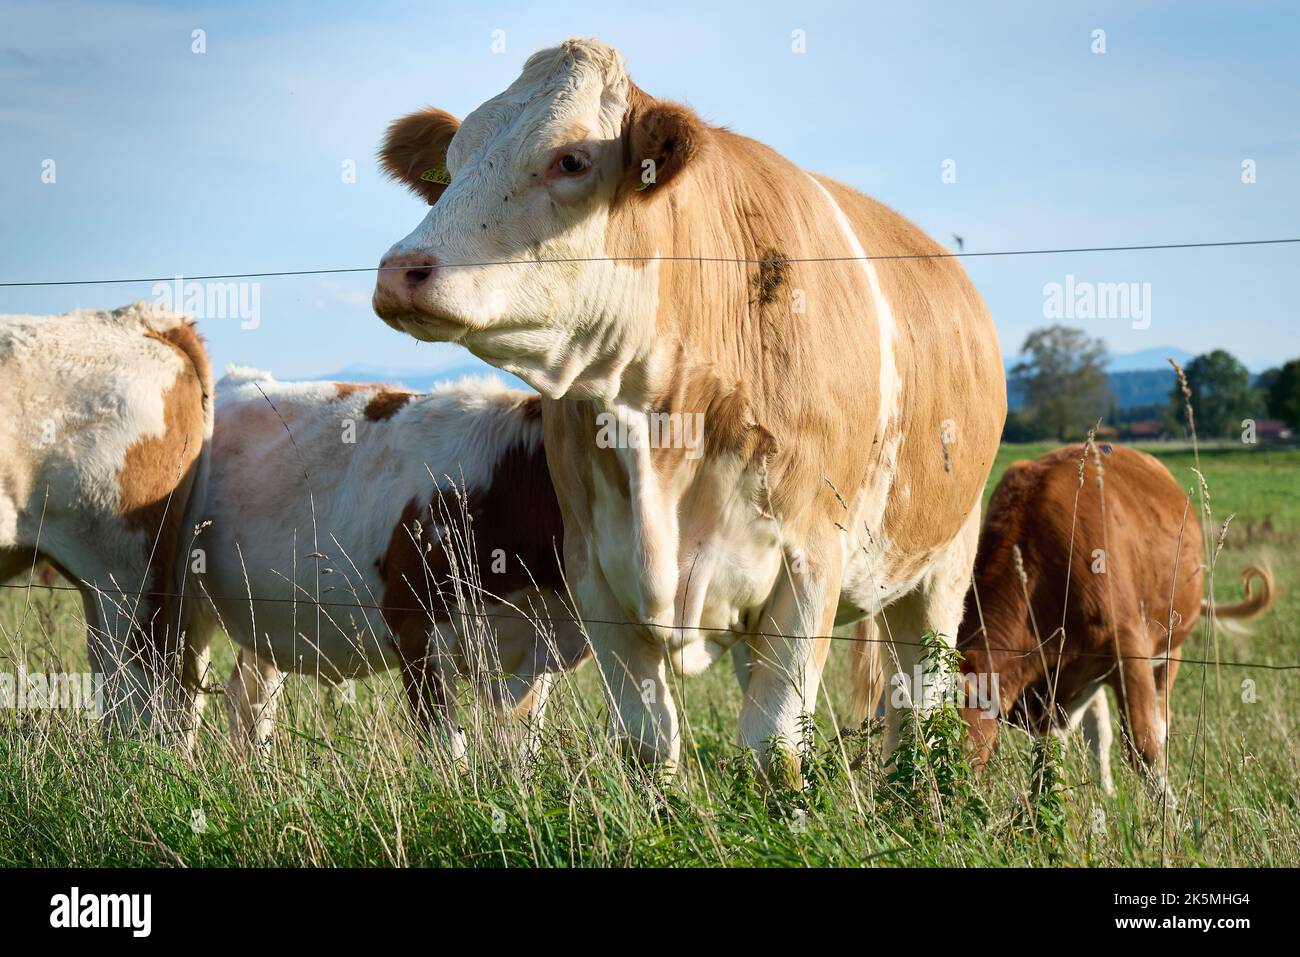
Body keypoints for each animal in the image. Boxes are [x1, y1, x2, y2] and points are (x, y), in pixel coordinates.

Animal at [371, 38, 1007, 779]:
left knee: (918, 710)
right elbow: (649, 742)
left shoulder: (810, 562)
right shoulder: (596, 573)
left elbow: (774, 745)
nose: (401, 270)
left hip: (941, 567)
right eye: (451, 166)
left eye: (571, 159)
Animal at [955, 443, 1274, 795]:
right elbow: (1052, 754)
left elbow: (1144, 748)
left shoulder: (1129, 649)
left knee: (1156, 723)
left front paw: (1171, 810)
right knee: (1097, 731)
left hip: (1169, 648)